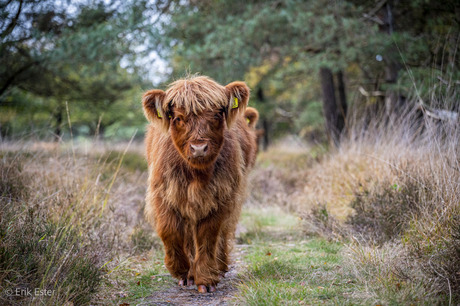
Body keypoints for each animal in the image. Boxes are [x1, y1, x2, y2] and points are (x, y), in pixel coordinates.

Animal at [143, 75, 258, 292]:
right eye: (178, 118)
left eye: (216, 115)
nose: (199, 148)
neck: (197, 176)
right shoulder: (163, 193)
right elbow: (170, 230)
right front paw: (182, 271)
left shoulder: (222, 195)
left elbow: (208, 235)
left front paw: (205, 279)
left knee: (224, 231)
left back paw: (219, 267)